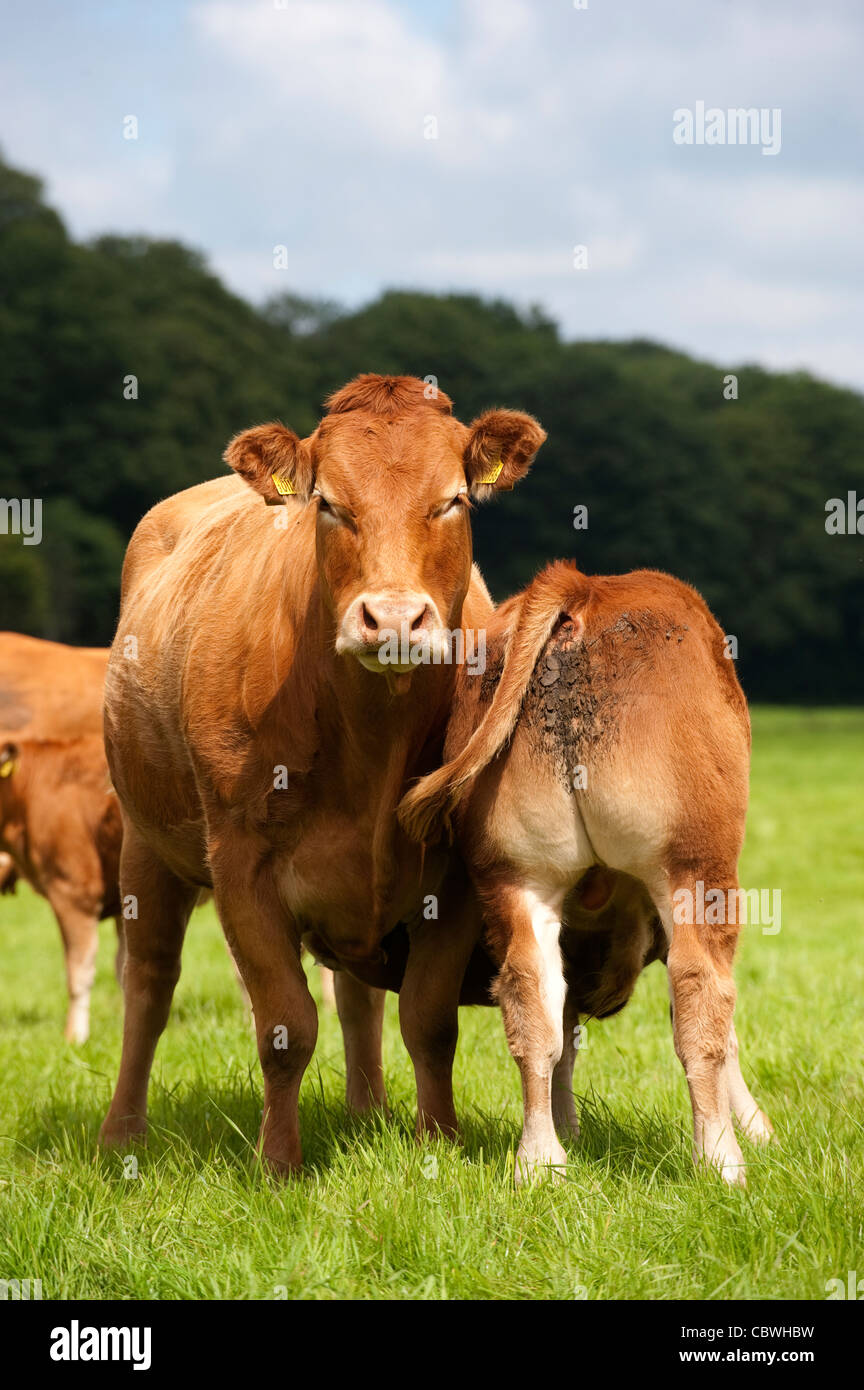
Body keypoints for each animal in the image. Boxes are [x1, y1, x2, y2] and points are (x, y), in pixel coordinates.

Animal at [98, 373, 546, 1173]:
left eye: (453, 500)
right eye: (330, 504)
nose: (393, 619)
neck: (370, 742)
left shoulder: (451, 878)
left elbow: (428, 1021)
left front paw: (439, 1143)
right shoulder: (241, 865)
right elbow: (285, 1026)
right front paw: (278, 1163)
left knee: (356, 996)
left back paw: (368, 1110)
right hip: (146, 845)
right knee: (148, 985)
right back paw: (122, 1132)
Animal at [398, 561, 774, 1186]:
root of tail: (582, 585)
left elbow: (564, 1034)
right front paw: (759, 1133)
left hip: (517, 876)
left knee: (532, 1005)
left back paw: (540, 1160)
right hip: (694, 865)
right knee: (700, 1001)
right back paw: (720, 1160)